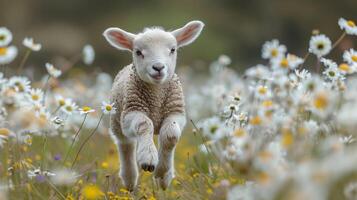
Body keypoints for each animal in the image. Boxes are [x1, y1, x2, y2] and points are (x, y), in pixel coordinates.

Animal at [102, 20, 203, 191]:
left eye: (173, 50)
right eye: (138, 52)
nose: (158, 67)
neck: (156, 96)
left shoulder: (176, 112)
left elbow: (171, 134)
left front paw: (162, 173)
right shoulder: (131, 112)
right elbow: (145, 124)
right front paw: (148, 160)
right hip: (117, 121)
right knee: (125, 145)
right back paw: (130, 180)